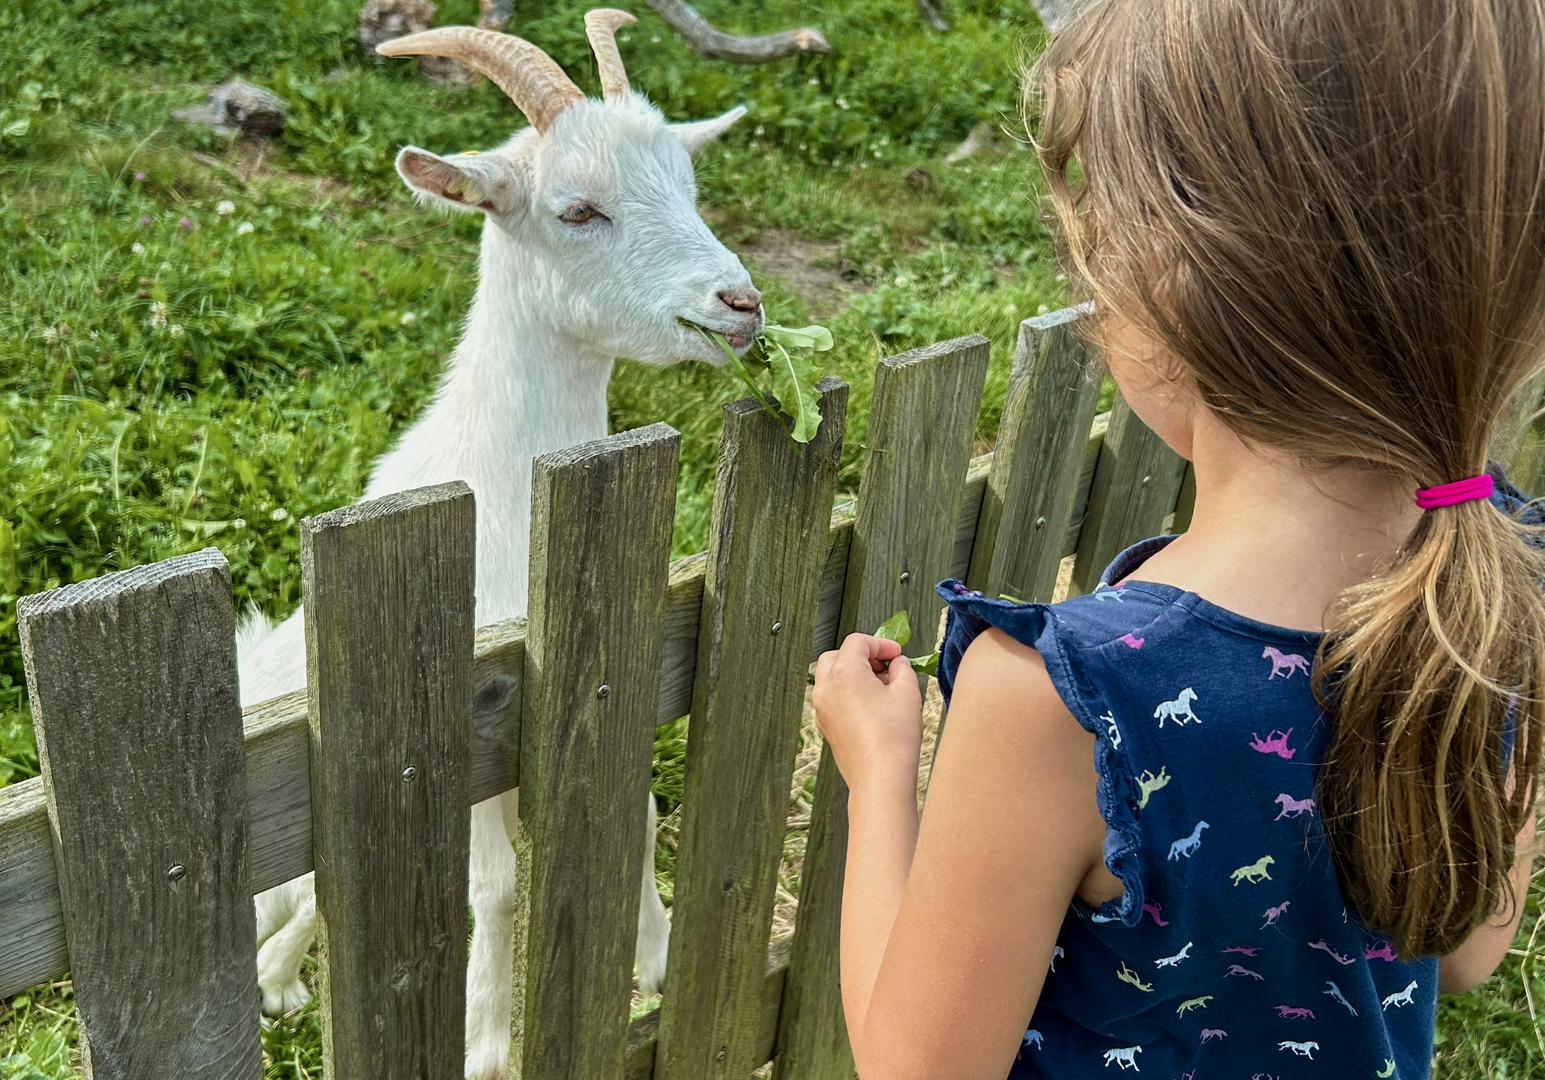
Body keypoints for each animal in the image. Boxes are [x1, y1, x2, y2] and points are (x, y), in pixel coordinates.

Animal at [239, 12, 761, 1078]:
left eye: (688, 187)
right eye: (578, 210)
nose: (740, 304)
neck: (508, 483)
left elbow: (641, 811)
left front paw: (655, 957)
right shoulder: (475, 729)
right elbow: (492, 885)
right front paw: (482, 1042)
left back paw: (281, 979)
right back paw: (276, 978)